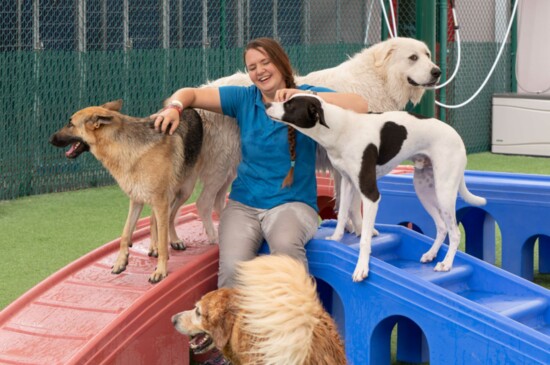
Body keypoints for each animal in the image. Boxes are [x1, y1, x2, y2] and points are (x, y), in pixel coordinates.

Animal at [49, 99, 204, 282]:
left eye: (70, 123)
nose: (50, 139)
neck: (123, 146)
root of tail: (190, 108)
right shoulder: (136, 199)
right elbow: (125, 233)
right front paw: (120, 262)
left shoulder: (160, 201)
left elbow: (162, 238)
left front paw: (160, 270)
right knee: (156, 220)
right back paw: (154, 246)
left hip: (183, 191)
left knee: (170, 217)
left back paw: (172, 240)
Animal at [268, 94, 488, 282]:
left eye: (289, 104)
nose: (267, 104)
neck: (341, 129)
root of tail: (457, 136)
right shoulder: (347, 183)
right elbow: (342, 215)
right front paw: (336, 238)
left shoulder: (370, 194)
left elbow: (365, 238)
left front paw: (362, 268)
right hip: (424, 190)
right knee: (442, 227)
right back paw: (431, 254)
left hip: (444, 192)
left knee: (455, 233)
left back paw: (446, 264)